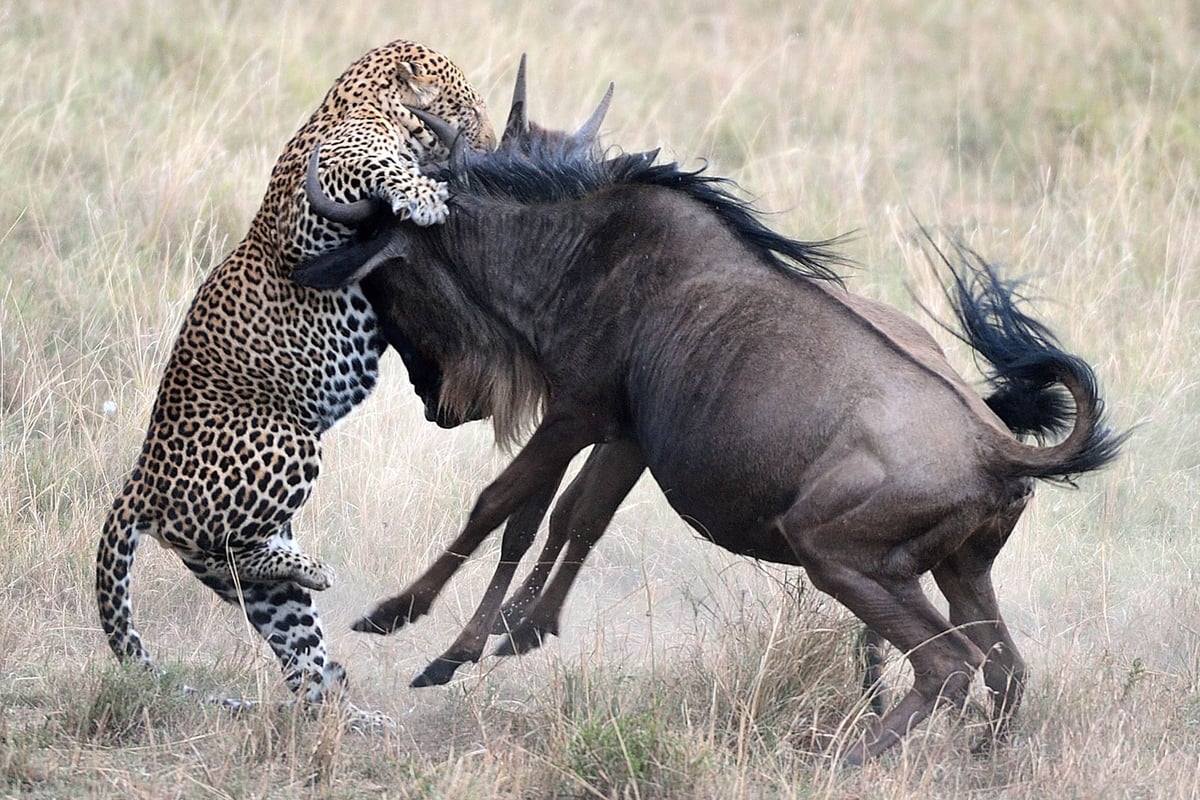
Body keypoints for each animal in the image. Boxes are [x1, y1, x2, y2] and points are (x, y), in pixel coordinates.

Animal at [94, 39, 496, 714]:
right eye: (465, 109)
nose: (490, 148)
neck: (361, 101)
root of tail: (139, 480)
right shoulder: (320, 200)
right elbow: (374, 163)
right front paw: (421, 195)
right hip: (288, 439)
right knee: (226, 549)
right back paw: (315, 573)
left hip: (268, 591)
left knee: (299, 659)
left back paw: (351, 705)